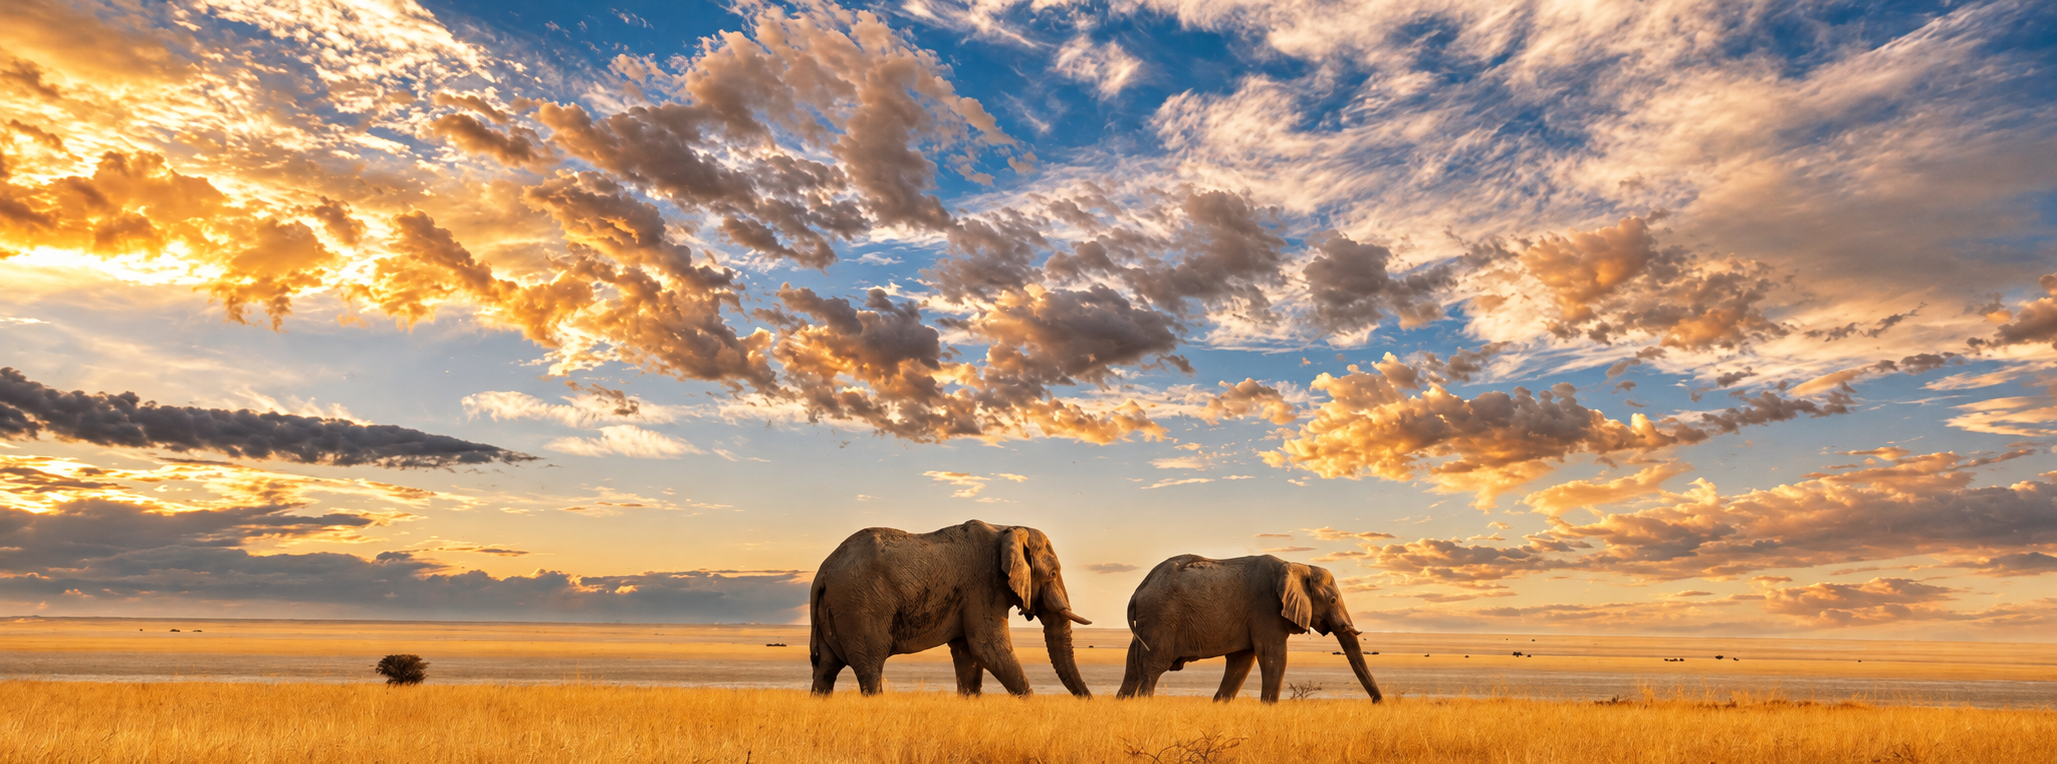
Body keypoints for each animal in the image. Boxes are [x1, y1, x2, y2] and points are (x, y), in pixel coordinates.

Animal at [809, 519, 1094, 697]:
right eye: (1053, 573)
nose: (1089, 700)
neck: (1008, 527)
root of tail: (823, 571)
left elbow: (968, 654)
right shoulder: (983, 586)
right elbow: (989, 648)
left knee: (825, 669)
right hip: (859, 607)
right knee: (869, 667)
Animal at [1116, 554, 1382, 703]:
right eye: (1333, 601)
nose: (1378, 703)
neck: (1297, 566)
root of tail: (1139, 589)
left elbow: (1241, 661)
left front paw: (1220, 705)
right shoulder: (1266, 609)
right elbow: (1273, 656)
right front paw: (1269, 707)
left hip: (1148, 621)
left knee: (1132, 667)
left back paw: (1122, 702)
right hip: (1161, 618)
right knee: (1152, 669)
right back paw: (1144, 703)